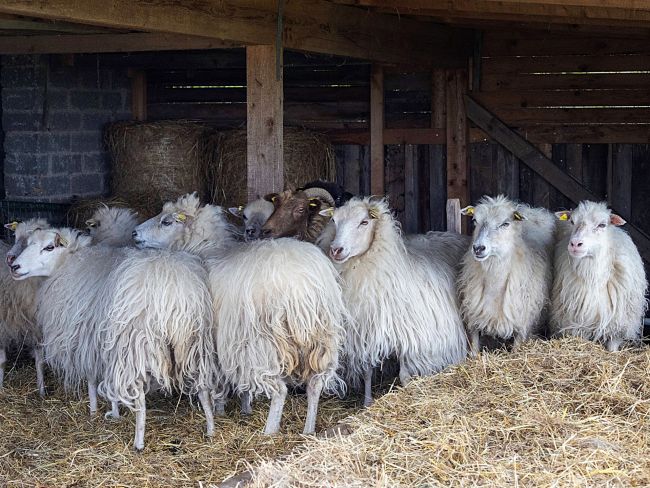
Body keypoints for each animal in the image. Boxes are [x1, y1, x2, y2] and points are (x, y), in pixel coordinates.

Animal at [0, 218, 49, 394]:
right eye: (14, 236)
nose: (10, 257)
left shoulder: (37, 326)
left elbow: (40, 361)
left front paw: (41, 392)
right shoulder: (2, 324)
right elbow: (2, 360)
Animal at [322, 197, 468, 406]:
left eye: (364, 222)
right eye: (334, 221)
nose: (336, 250)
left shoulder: (411, 335)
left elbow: (404, 376)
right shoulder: (367, 329)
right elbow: (367, 371)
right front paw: (367, 403)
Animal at [458, 195, 556, 355]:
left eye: (505, 224)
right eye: (475, 221)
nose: (478, 248)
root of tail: (531, 208)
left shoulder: (522, 323)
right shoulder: (473, 316)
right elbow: (474, 349)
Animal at [550, 201, 647, 352]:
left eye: (602, 225)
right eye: (572, 221)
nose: (575, 244)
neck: (594, 277)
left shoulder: (618, 325)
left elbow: (613, 347)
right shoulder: (579, 322)